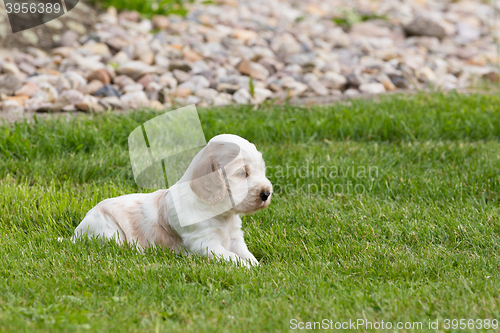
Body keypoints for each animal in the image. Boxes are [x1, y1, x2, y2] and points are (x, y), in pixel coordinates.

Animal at [72, 134, 272, 266]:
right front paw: (248, 269)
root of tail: (75, 234)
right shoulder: (205, 243)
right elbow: (233, 258)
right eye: (242, 173)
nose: (266, 193)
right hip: (108, 231)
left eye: (261, 170)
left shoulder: (235, 238)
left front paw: (257, 266)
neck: (222, 215)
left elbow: (247, 255)